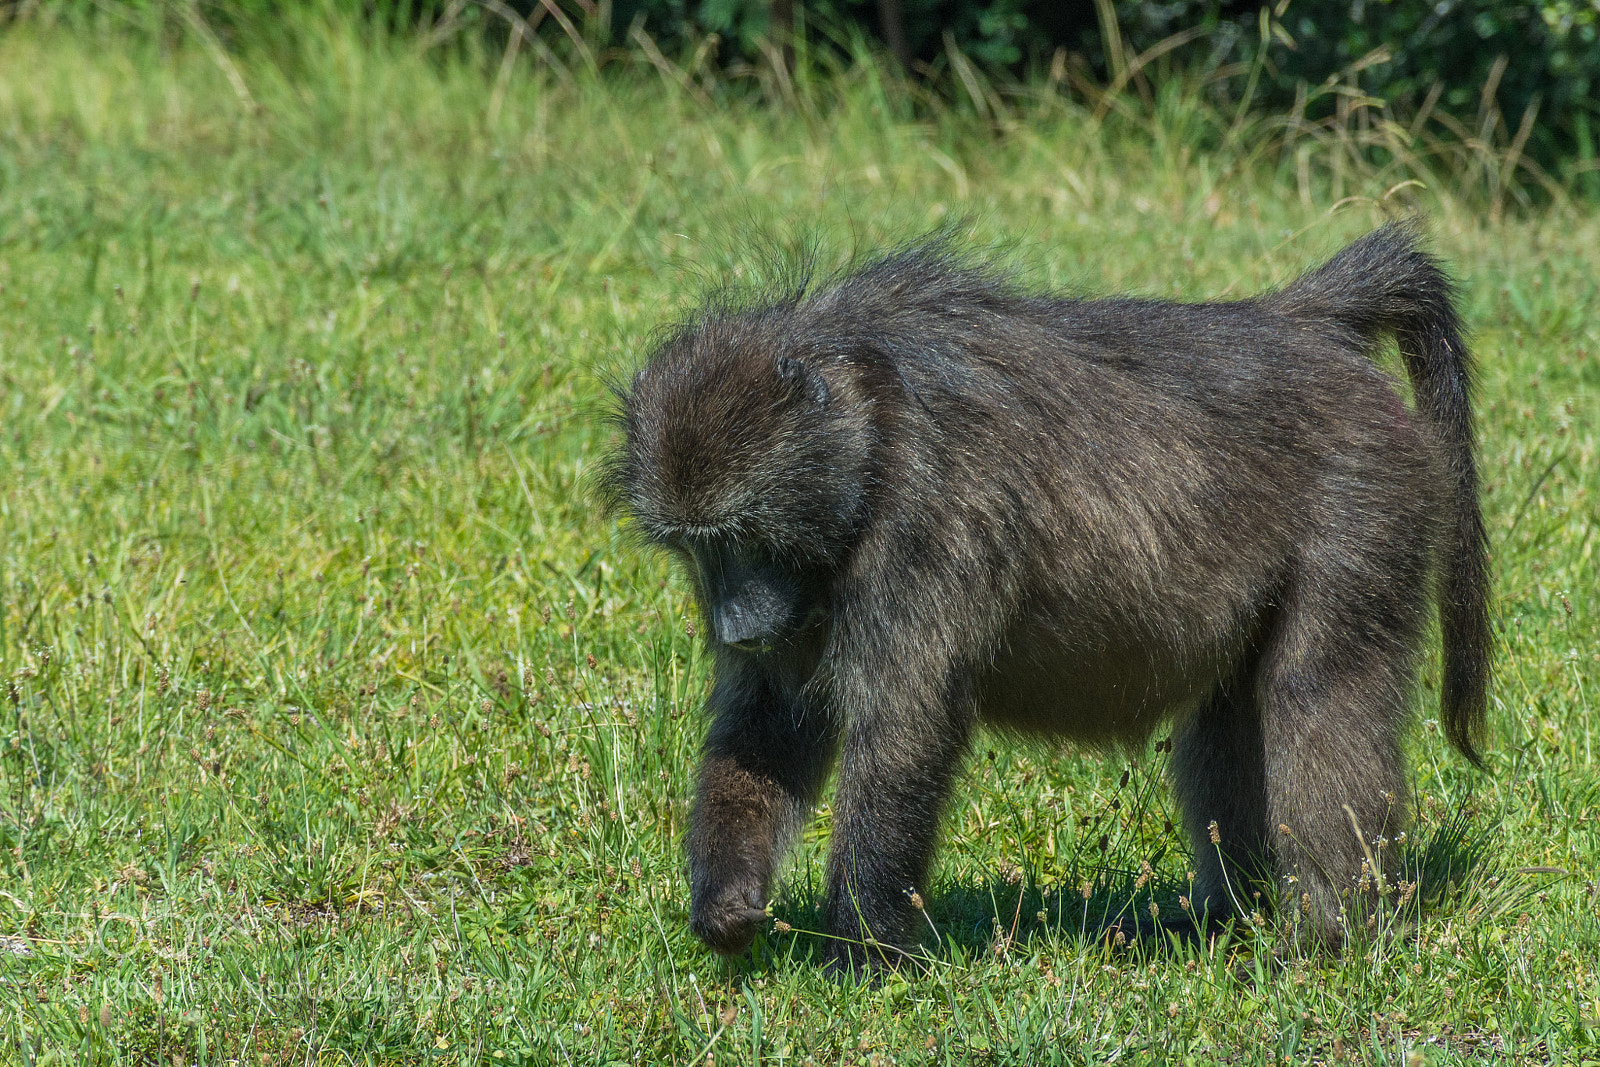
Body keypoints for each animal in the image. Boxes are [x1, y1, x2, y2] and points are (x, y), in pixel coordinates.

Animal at [599, 222, 1490, 975]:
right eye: (699, 544)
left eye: (743, 532)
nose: (737, 628)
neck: (869, 430)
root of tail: (1299, 324)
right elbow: (771, 723)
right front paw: (728, 905)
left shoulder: (925, 524)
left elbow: (904, 731)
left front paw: (860, 957)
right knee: (1228, 717)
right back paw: (1220, 918)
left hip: (1362, 505)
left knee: (1317, 698)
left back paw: (1322, 940)